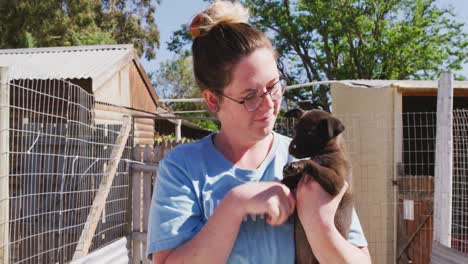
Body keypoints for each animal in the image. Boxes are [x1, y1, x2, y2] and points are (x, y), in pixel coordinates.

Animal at [280, 109, 352, 264]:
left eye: (310, 132)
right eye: (295, 129)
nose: (291, 148)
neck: (325, 153)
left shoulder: (338, 183)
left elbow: (312, 164)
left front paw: (297, 165)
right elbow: (291, 179)